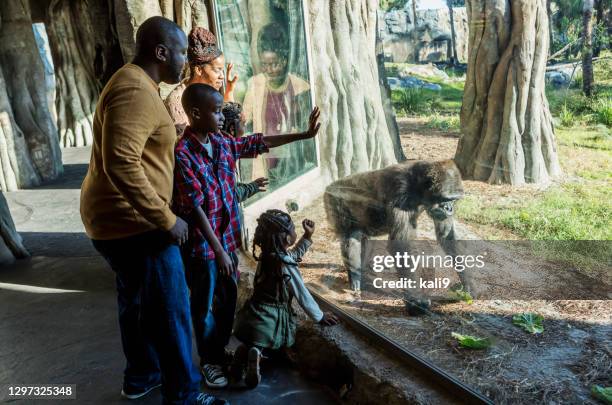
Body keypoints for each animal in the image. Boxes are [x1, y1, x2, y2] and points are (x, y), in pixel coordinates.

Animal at [326, 159, 464, 298]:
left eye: (454, 200)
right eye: (445, 199)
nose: (450, 208)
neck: (419, 185)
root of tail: (329, 187)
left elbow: (446, 236)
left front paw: (467, 285)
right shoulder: (400, 191)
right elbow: (400, 246)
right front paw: (416, 297)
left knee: (362, 240)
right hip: (333, 199)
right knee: (350, 238)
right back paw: (354, 275)